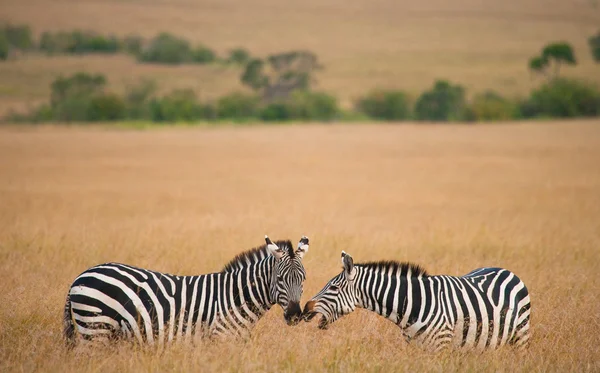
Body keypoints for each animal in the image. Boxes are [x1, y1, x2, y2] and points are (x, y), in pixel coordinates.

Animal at [63, 234, 310, 348]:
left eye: (303, 279)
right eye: (279, 279)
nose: (295, 316)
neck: (235, 296)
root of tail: (80, 276)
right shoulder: (220, 338)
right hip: (95, 329)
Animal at [304, 250, 528, 352]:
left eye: (333, 288)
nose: (306, 308)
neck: (413, 304)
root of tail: (504, 269)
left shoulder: (440, 346)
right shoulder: (415, 347)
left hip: (521, 336)